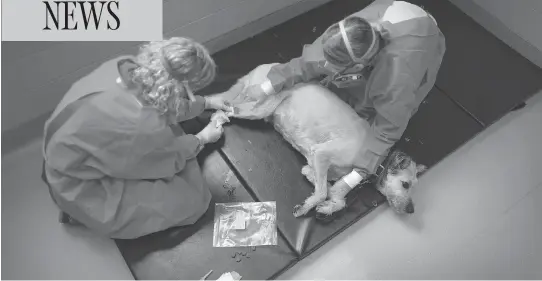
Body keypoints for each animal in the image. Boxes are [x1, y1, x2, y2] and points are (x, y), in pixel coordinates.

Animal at [212, 63, 430, 217]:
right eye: (405, 184)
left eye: (414, 186)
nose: (411, 210)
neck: (378, 161)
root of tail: (261, 67)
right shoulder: (322, 154)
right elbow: (323, 192)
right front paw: (307, 207)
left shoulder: (314, 165)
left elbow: (332, 193)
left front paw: (327, 207)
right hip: (258, 108)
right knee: (226, 108)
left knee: (220, 104)